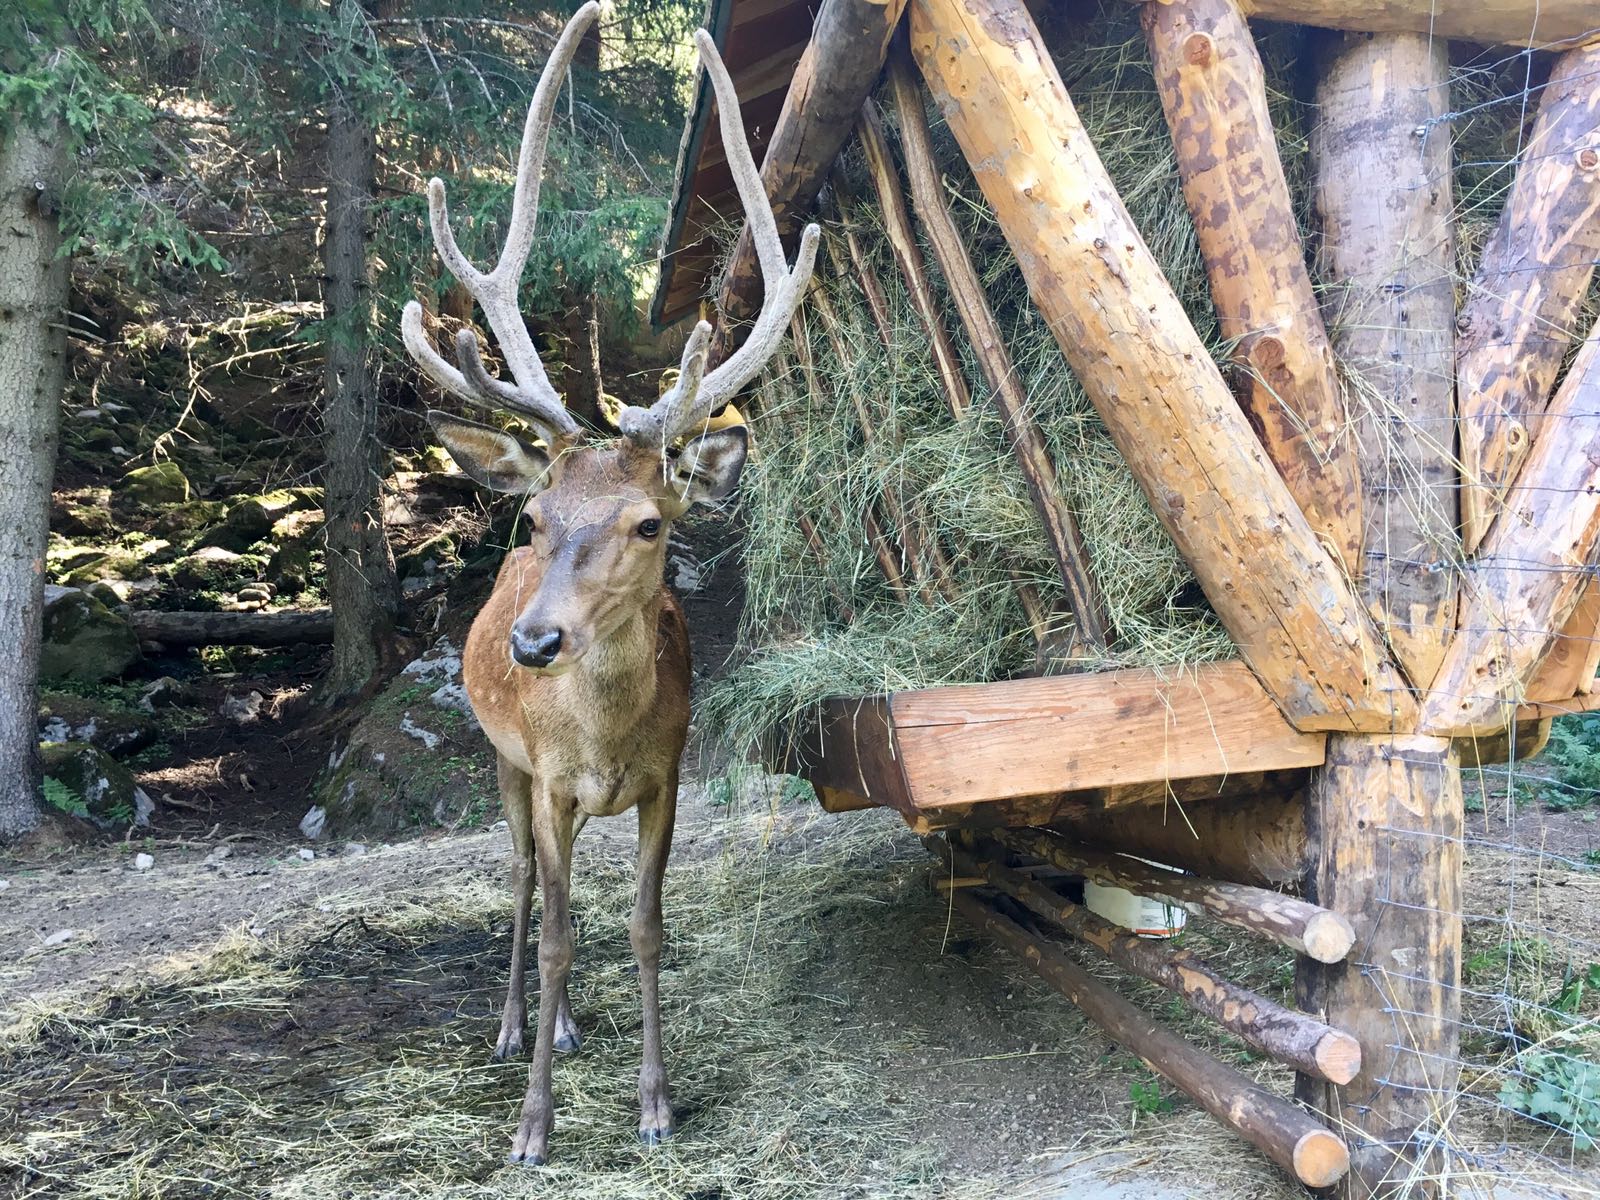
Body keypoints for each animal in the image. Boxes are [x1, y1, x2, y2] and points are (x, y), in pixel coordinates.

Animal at [398, 0, 819, 1164]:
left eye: (647, 522)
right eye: (539, 521)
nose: (533, 644)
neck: (602, 741)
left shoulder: (666, 777)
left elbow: (642, 926)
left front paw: (656, 1105)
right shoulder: (543, 775)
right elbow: (553, 927)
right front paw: (533, 1126)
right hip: (497, 762)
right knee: (519, 883)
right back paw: (515, 1027)